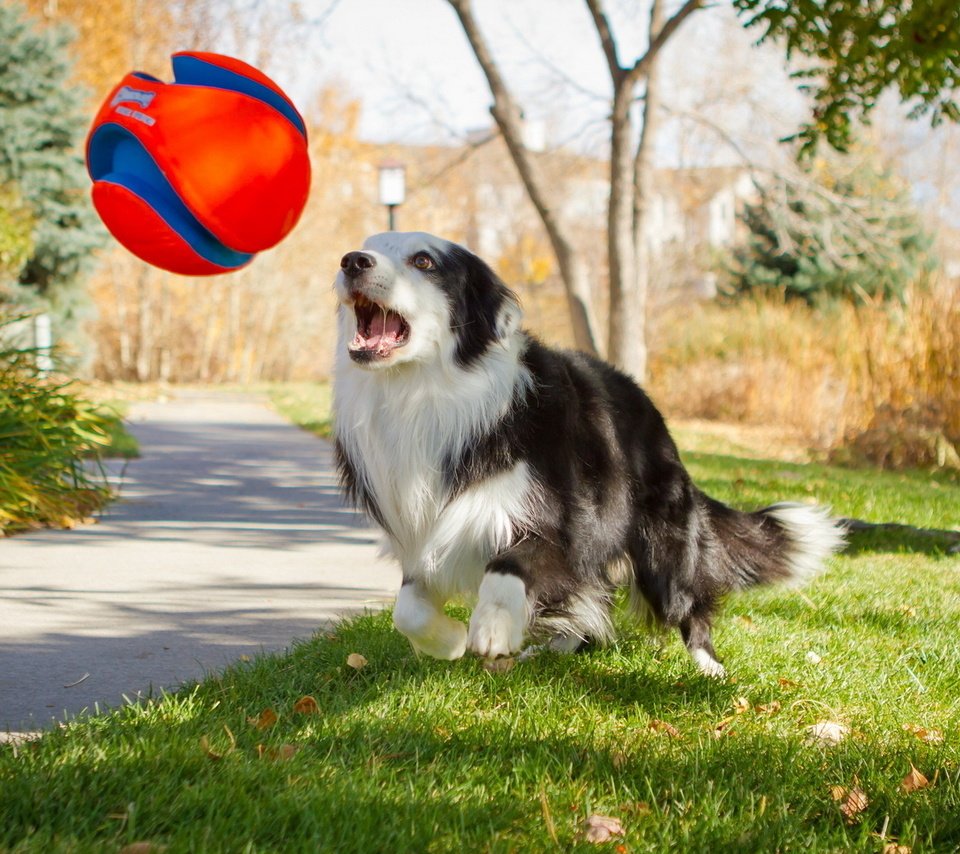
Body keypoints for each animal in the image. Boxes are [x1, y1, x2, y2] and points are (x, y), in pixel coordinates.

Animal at [334, 232, 844, 676]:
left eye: (424, 261)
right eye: (371, 244)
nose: (352, 260)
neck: (425, 393)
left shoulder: (563, 522)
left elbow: (510, 564)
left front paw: (493, 625)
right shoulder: (422, 532)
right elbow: (407, 610)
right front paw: (449, 641)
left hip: (662, 549)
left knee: (687, 605)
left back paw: (711, 670)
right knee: (588, 605)